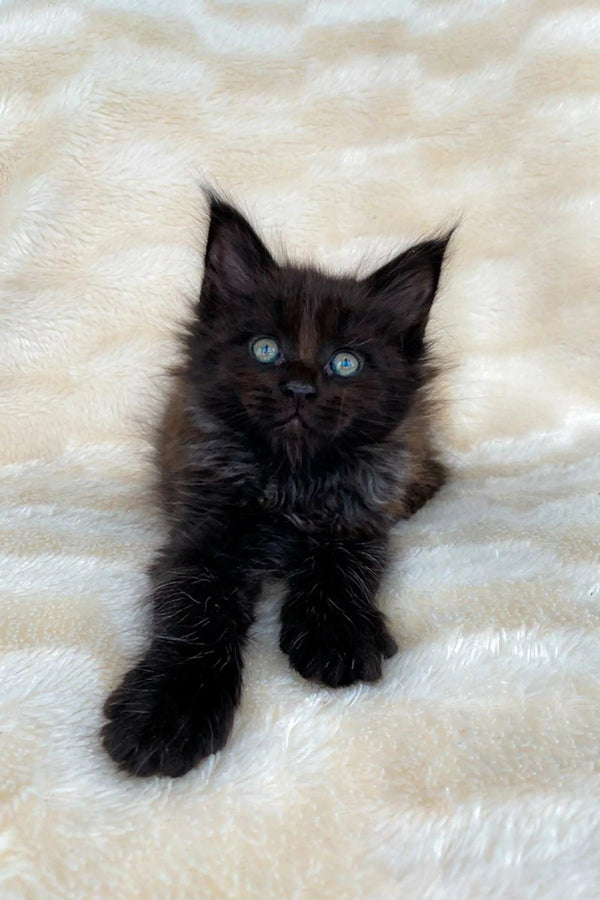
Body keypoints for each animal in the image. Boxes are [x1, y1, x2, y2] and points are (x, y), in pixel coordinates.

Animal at [103, 199, 450, 780]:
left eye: (345, 362)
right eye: (266, 349)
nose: (299, 388)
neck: (290, 478)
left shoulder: (358, 518)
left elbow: (342, 570)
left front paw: (337, 636)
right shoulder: (203, 536)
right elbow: (194, 617)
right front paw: (168, 714)